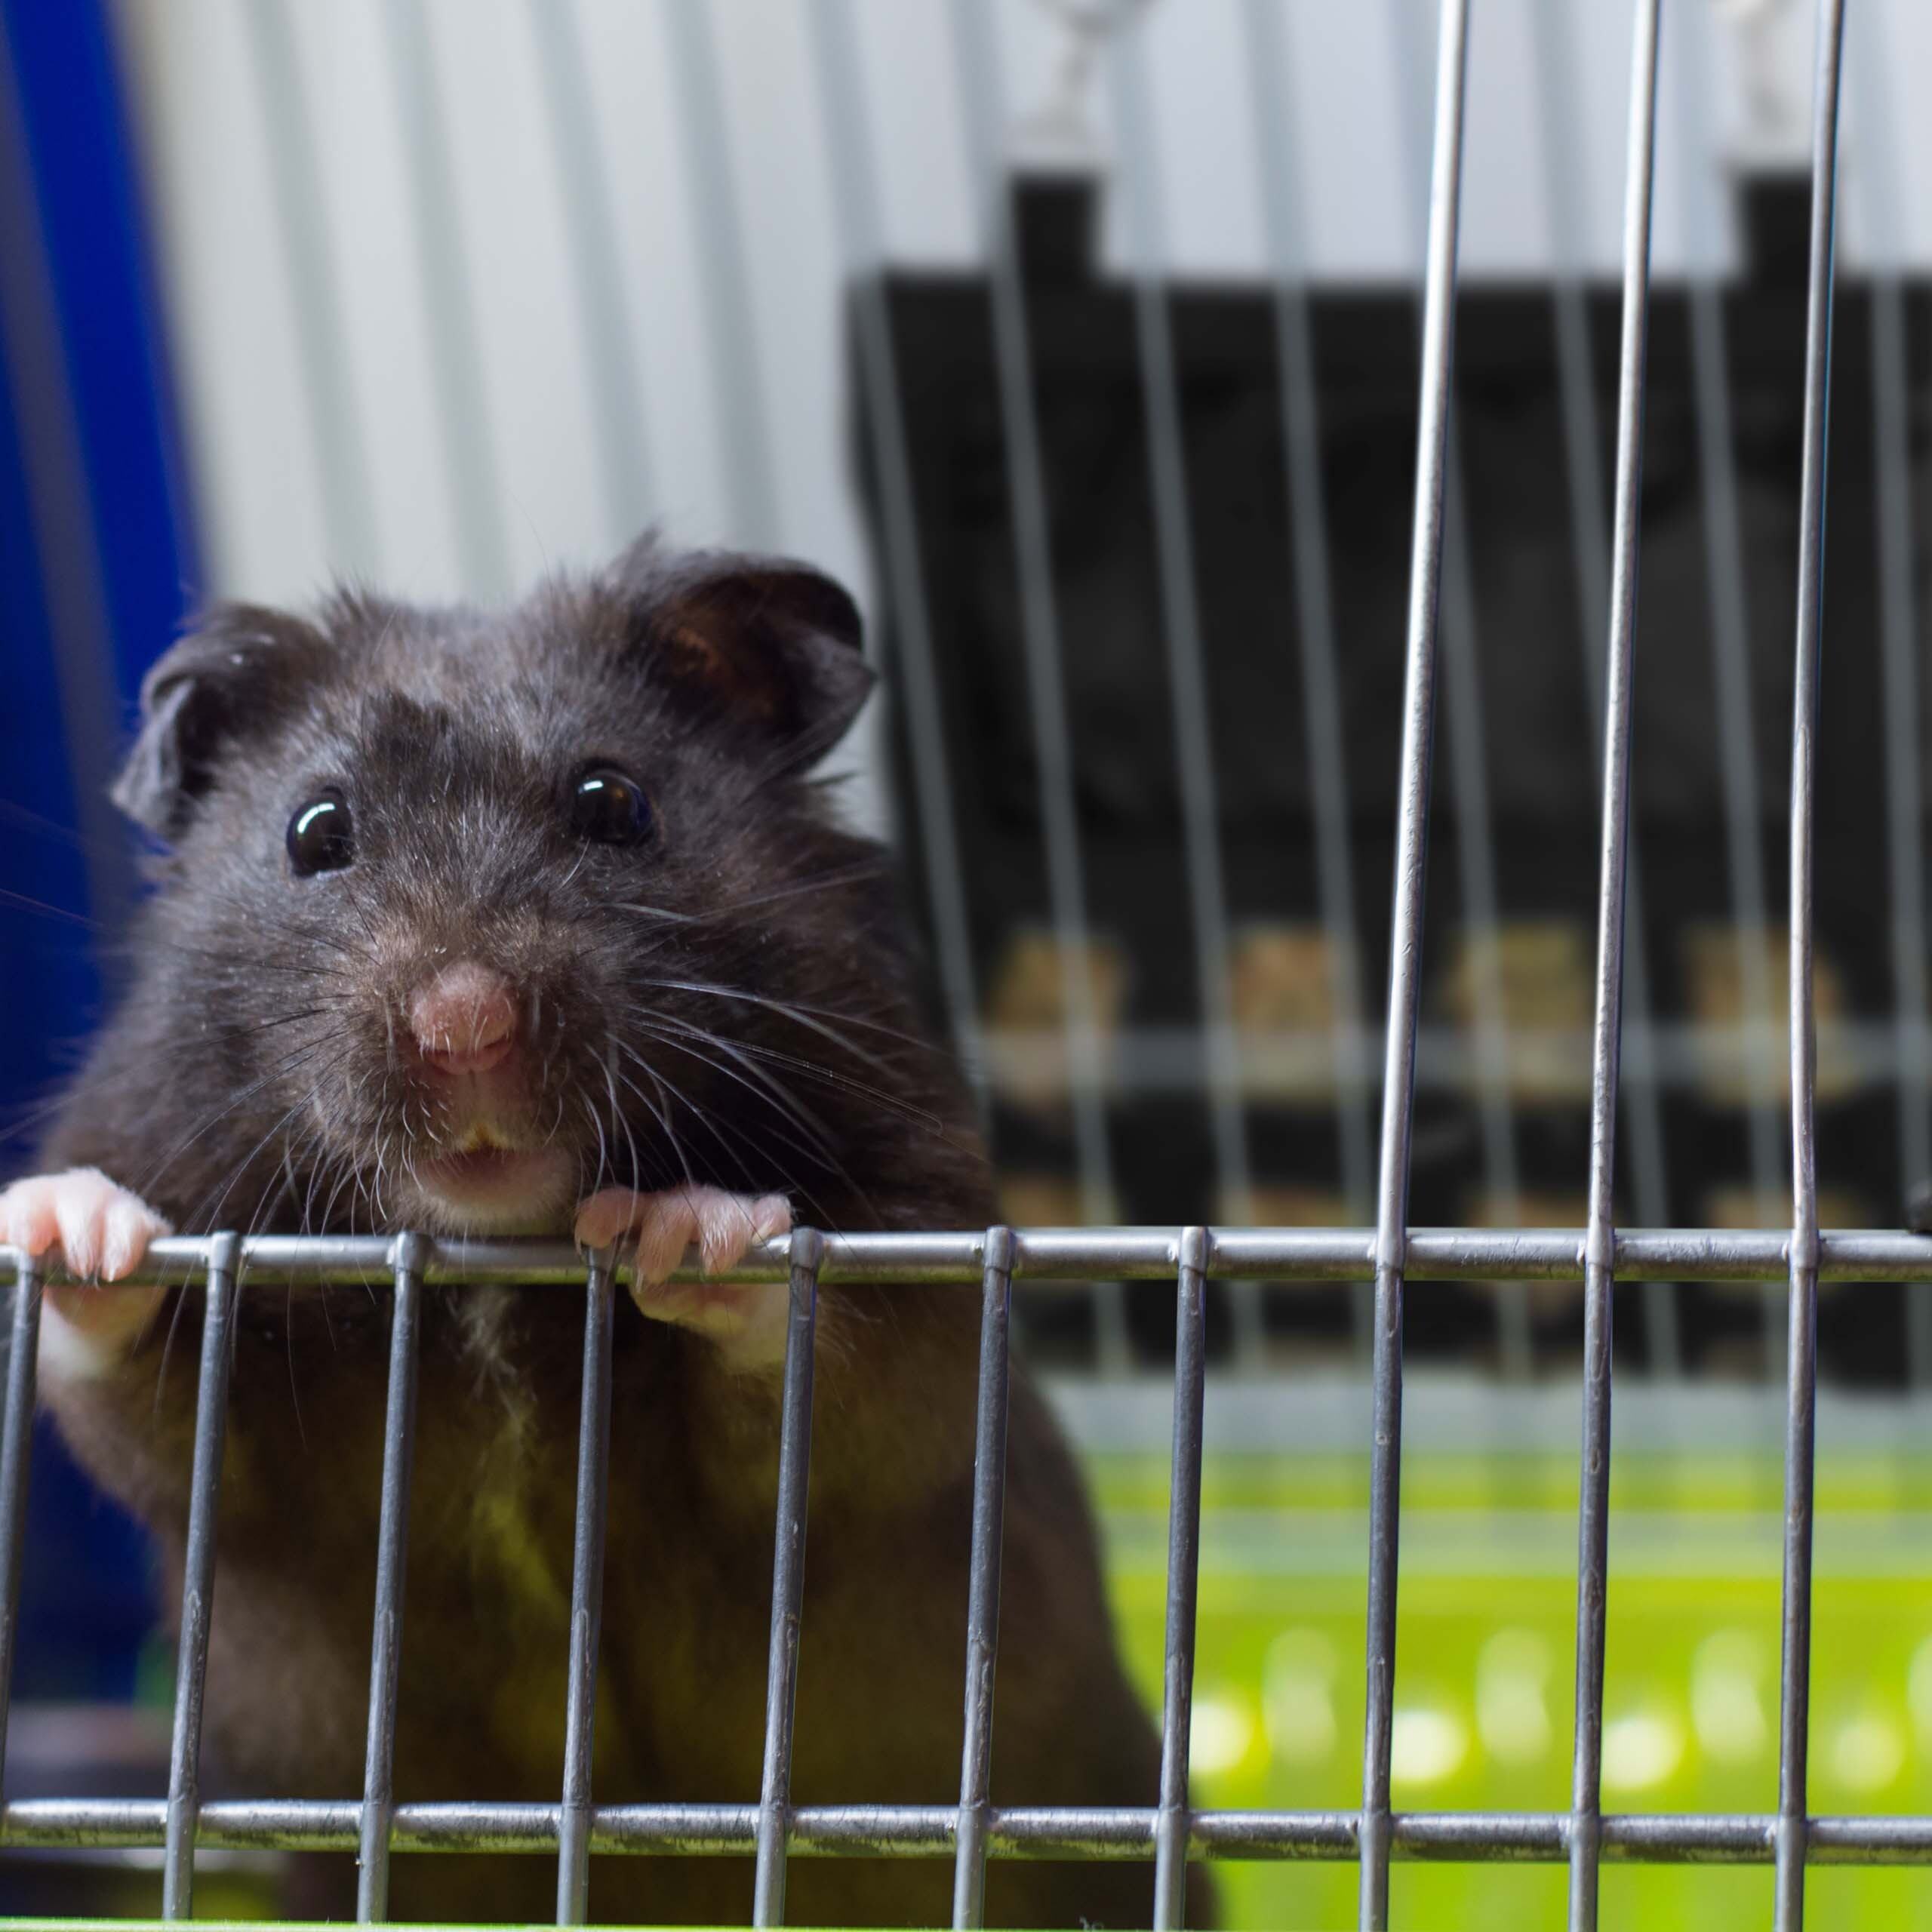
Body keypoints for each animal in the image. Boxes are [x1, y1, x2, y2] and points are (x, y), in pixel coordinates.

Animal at [0, 535, 1213, 1929]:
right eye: (316, 832)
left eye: (615, 803)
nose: (464, 1027)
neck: (495, 1261)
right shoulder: (239, 1442)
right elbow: (138, 1404)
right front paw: (68, 1224)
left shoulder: (929, 1265)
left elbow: (851, 1373)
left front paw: (684, 1232)